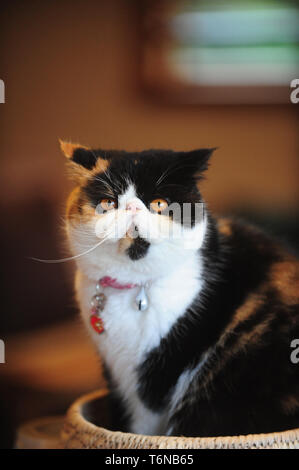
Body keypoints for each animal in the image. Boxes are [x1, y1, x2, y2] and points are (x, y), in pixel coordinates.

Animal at [62, 141, 299, 438]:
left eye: (159, 204)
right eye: (108, 203)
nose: (132, 208)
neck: (135, 287)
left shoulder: (158, 375)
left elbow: (144, 426)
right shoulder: (115, 374)